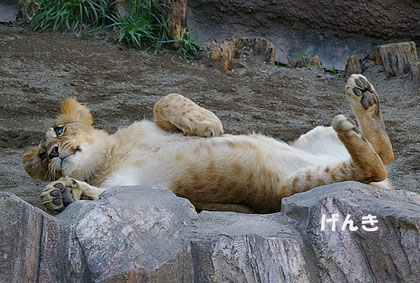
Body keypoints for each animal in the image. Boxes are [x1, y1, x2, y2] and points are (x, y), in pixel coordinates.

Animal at [21, 74, 394, 214]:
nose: (52, 152)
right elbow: (105, 195)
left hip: (312, 136)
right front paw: (61, 194)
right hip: (290, 186)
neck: (112, 153)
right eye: (41, 157)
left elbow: (164, 100)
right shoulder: (139, 187)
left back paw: (364, 97)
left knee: (385, 155)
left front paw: (207, 123)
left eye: (58, 130)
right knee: (374, 166)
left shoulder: (152, 127)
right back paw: (353, 122)